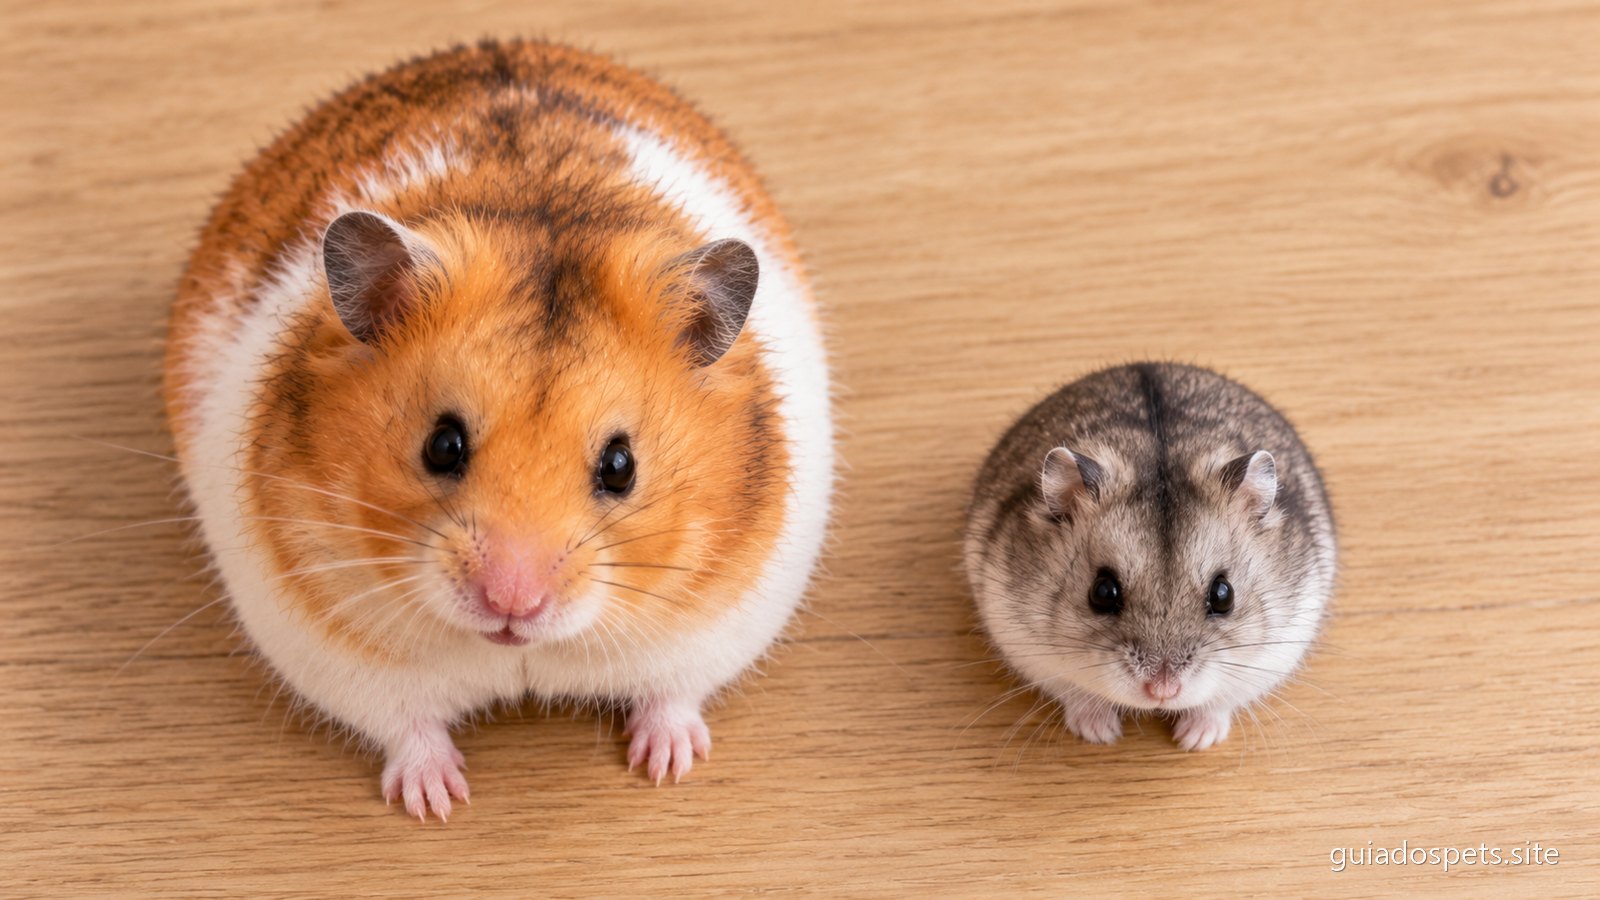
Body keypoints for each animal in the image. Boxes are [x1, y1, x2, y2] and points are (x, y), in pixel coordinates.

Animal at [162, 40, 832, 819]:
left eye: (621, 466)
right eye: (442, 446)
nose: (513, 604)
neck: (517, 657)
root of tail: (498, 45)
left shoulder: (715, 625)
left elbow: (673, 695)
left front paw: (665, 767)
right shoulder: (336, 651)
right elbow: (407, 727)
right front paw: (436, 803)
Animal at [963, 363, 1335, 751]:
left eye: (1224, 595)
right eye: (1102, 592)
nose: (1162, 690)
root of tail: (1146, 363)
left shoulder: (1280, 646)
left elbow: (1220, 701)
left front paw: (1194, 740)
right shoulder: (1023, 642)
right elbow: (1075, 691)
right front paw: (1102, 733)